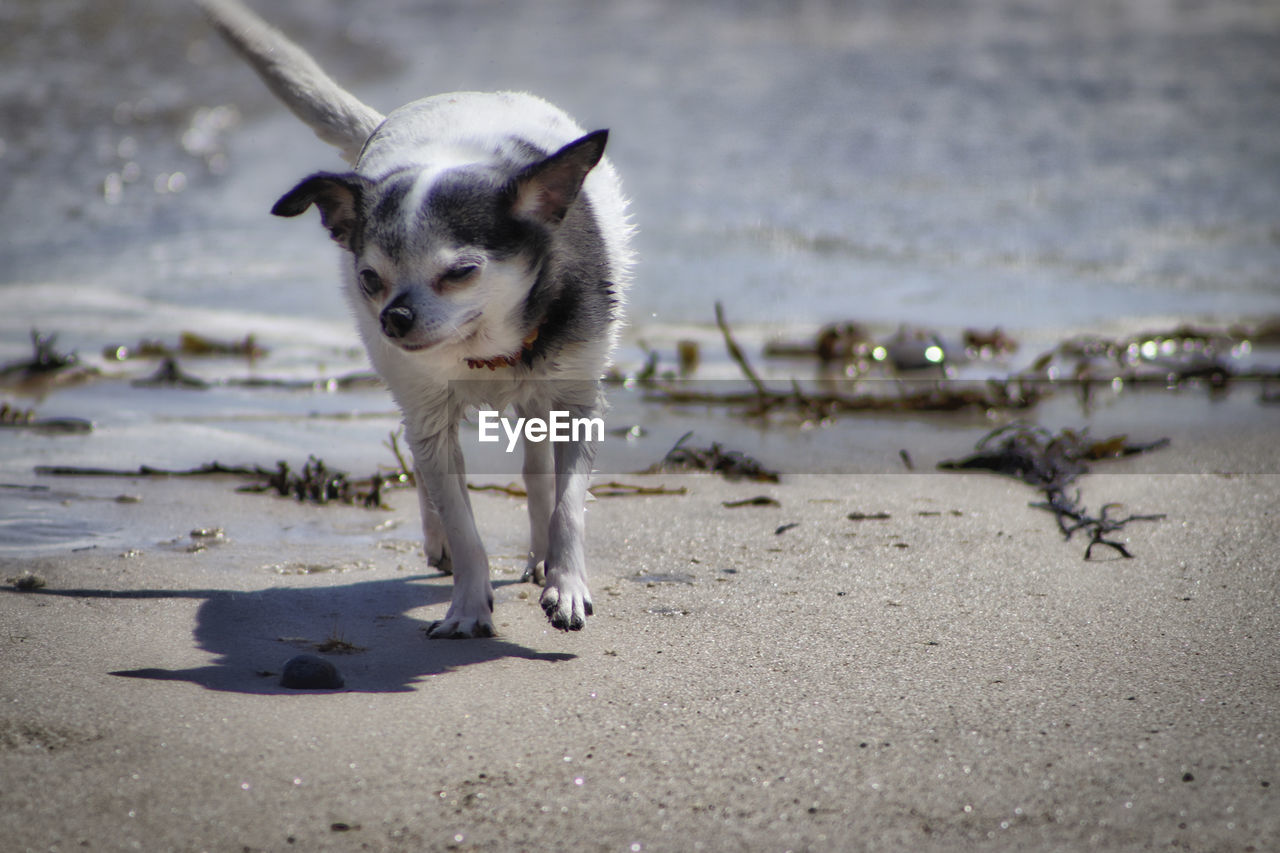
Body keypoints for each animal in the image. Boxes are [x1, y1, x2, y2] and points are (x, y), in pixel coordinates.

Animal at [200, 0, 634, 635]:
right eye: (369, 279)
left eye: (461, 272)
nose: (395, 318)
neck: (485, 349)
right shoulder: (430, 414)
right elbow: (461, 516)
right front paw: (468, 605)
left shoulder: (577, 405)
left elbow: (568, 506)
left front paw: (567, 584)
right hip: (415, 399)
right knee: (427, 463)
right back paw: (446, 544)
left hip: (544, 395)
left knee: (536, 472)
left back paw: (539, 558)